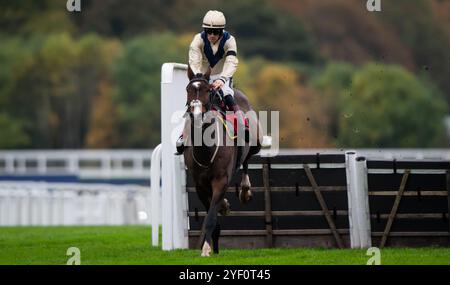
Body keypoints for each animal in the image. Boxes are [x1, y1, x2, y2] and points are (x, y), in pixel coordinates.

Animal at [181, 66, 262, 255]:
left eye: (207, 90)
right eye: (188, 90)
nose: (196, 114)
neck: (206, 150)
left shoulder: (221, 180)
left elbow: (211, 217)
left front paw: (206, 249)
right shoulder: (200, 184)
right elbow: (212, 214)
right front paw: (212, 247)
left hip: (256, 142)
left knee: (246, 159)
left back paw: (245, 190)